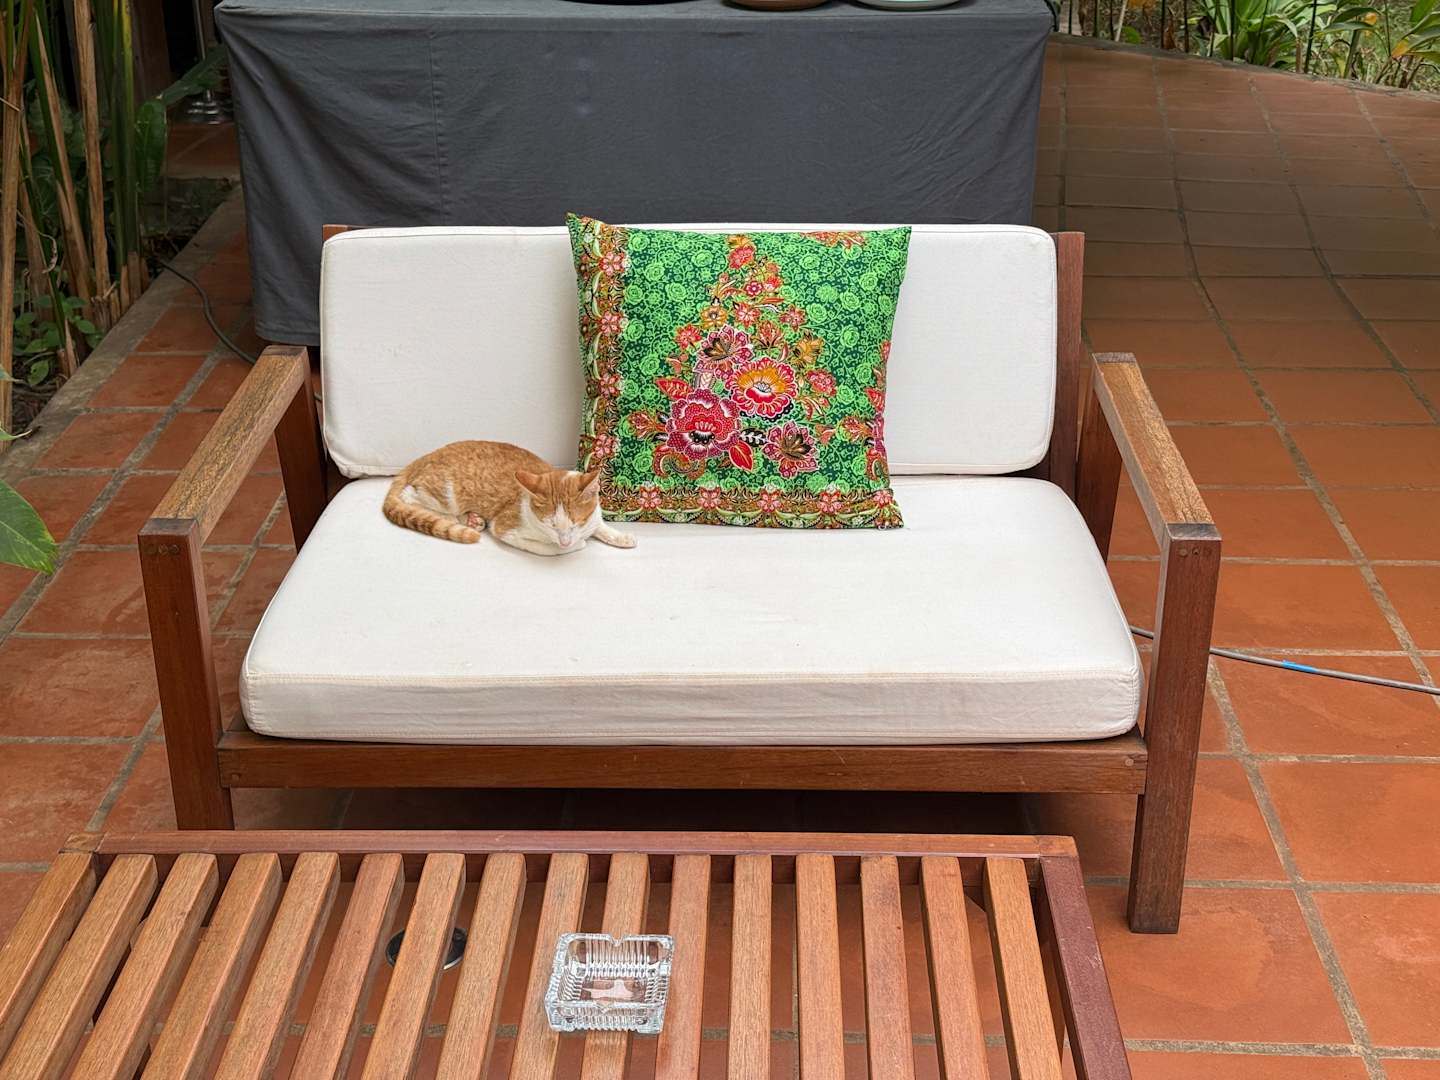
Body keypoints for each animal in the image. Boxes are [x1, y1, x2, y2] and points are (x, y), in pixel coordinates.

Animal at [382, 440, 636, 556]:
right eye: (551, 525)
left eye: (576, 523)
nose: (566, 541)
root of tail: (427, 455)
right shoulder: (505, 528)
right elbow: (547, 549)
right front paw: (574, 545)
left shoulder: (593, 518)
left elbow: (599, 525)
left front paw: (620, 536)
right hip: (444, 494)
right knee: (410, 497)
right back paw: (457, 519)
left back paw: (473, 519)